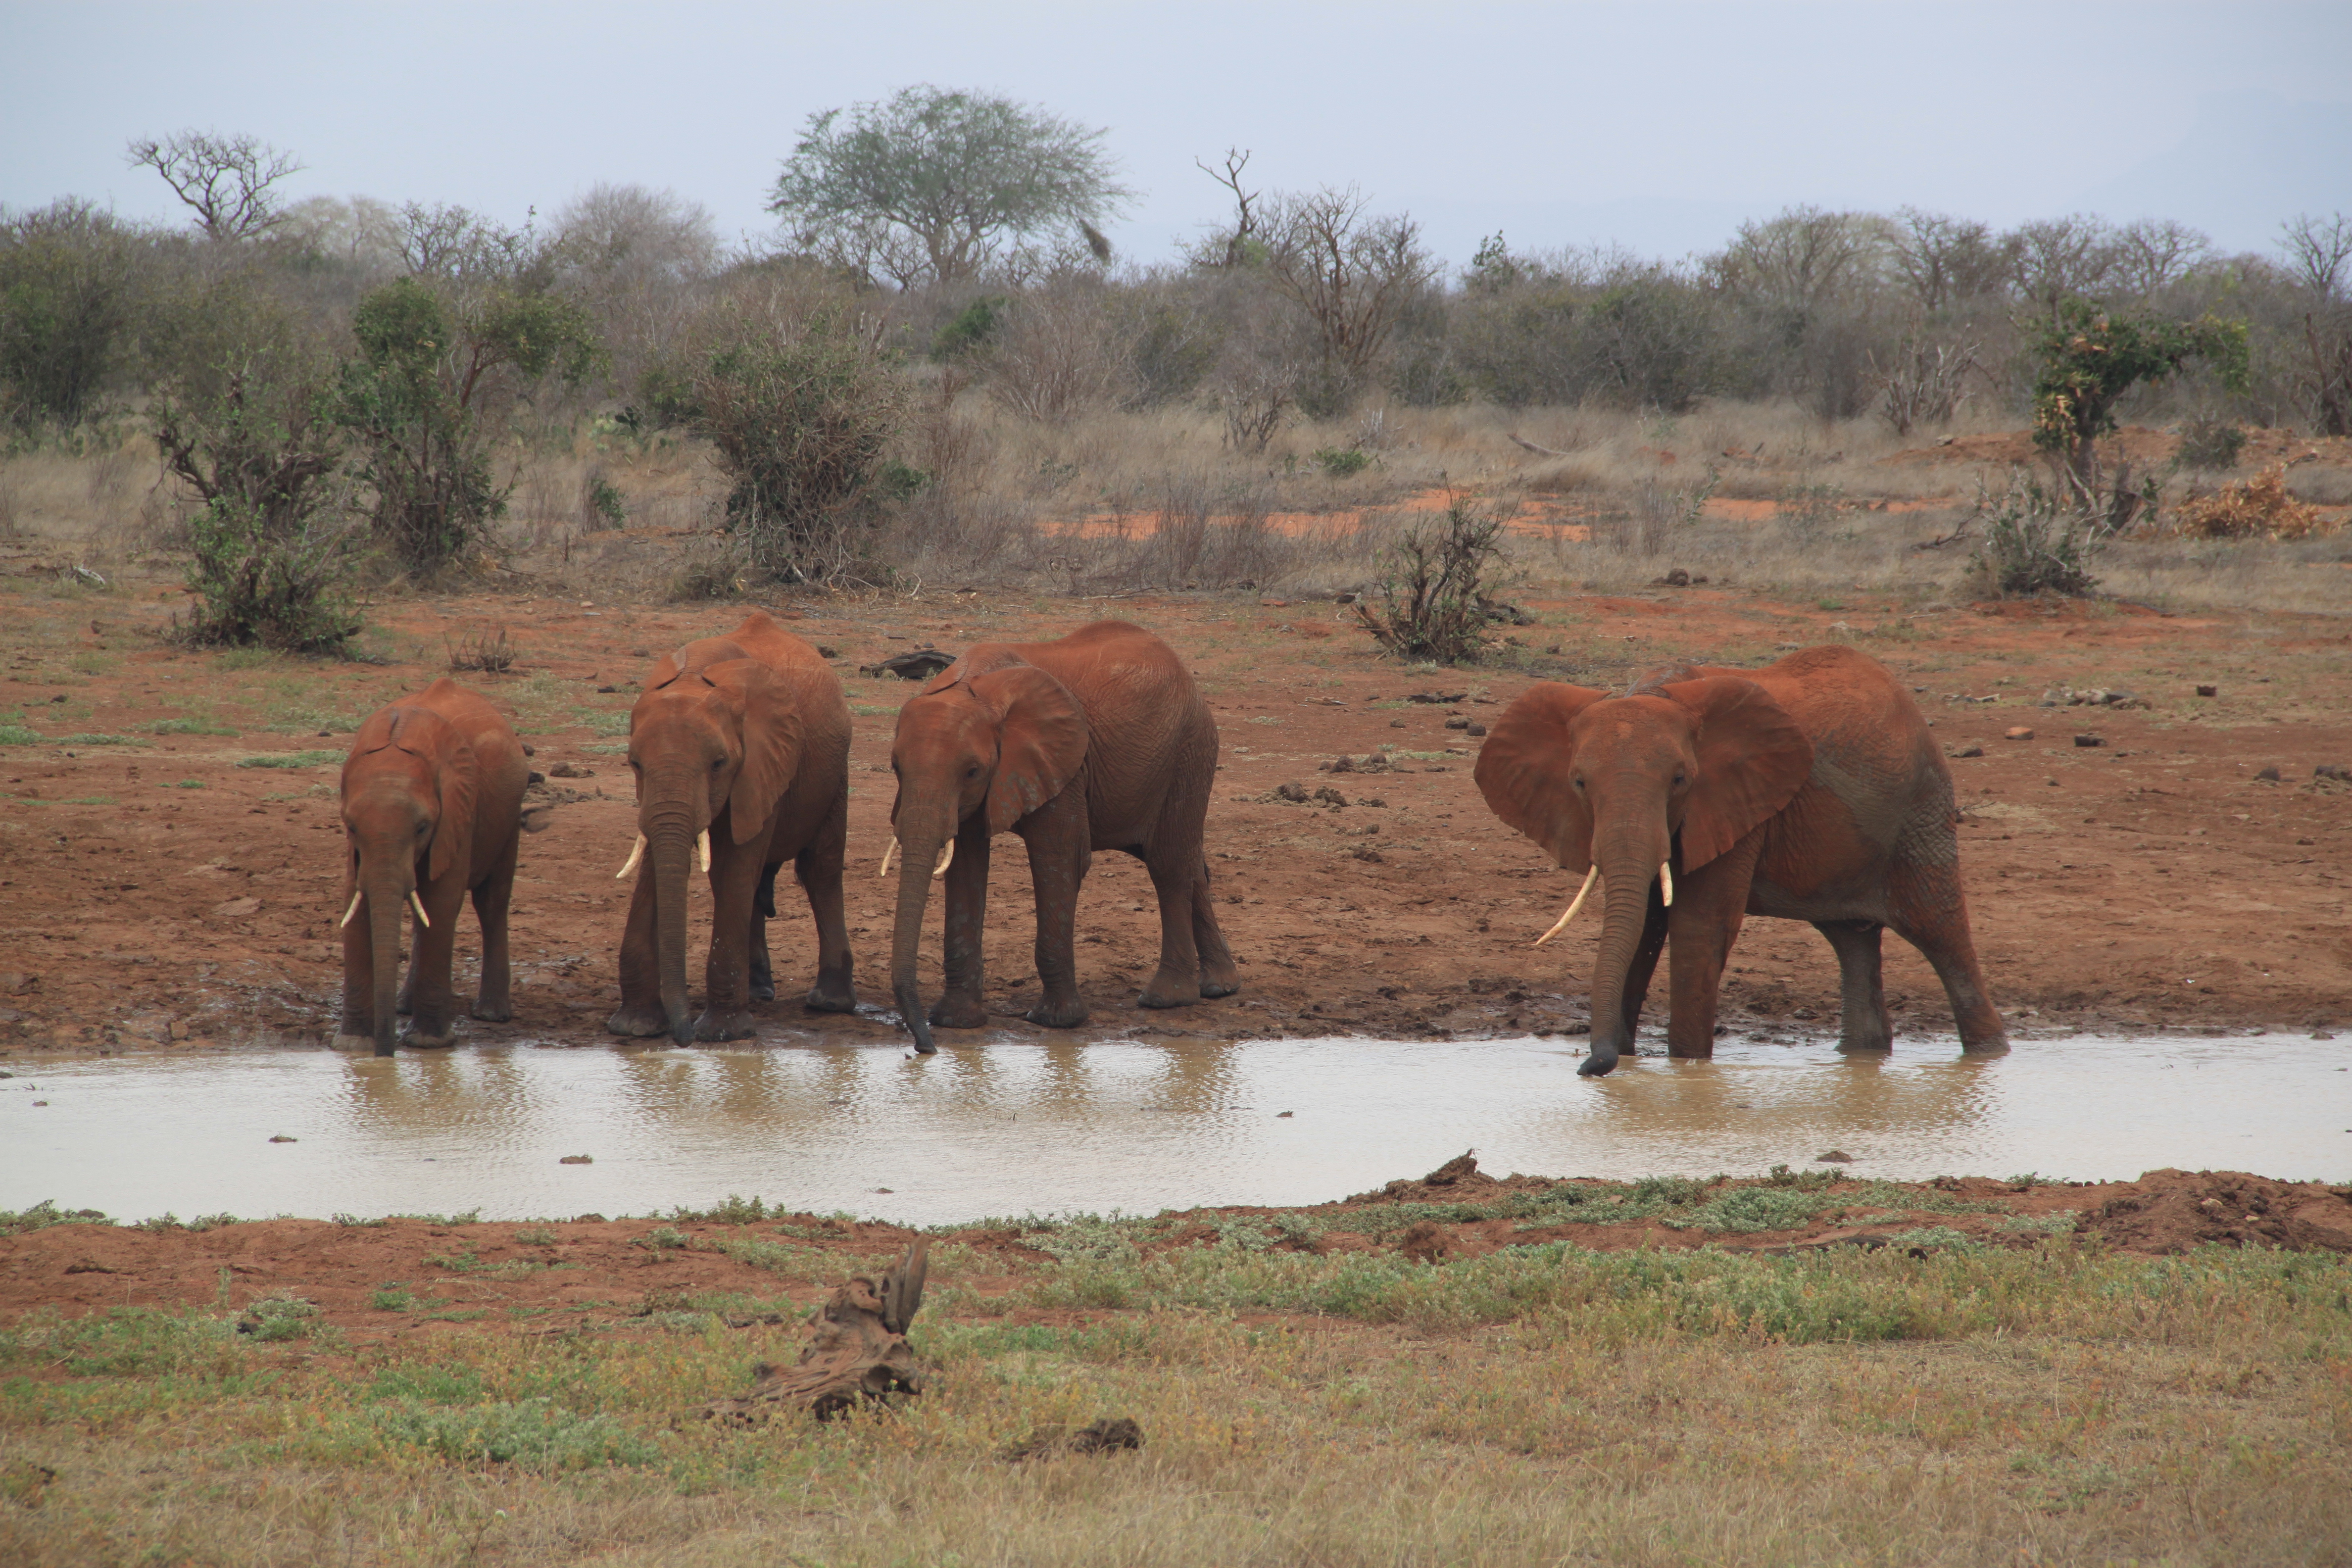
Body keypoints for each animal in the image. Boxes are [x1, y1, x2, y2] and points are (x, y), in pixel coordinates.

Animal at [336, 682, 534, 1062]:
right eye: (351, 826)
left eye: (422, 828)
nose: (386, 1057)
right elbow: (356, 901)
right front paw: (354, 1047)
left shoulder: (459, 809)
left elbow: (443, 902)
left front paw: (428, 1044)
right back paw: (403, 1007)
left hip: (508, 816)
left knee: (492, 902)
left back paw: (491, 1014)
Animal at [611, 611, 861, 1043]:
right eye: (634, 764)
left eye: (719, 764)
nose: (682, 1039)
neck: (693, 678)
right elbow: (658, 864)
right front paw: (636, 1028)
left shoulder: (765, 762)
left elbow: (740, 863)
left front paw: (722, 1034)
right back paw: (759, 991)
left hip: (834, 773)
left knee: (820, 869)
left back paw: (830, 1003)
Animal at [884, 616, 1242, 1053]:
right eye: (895, 767)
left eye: (971, 771)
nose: (925, 1048)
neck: (978, 689)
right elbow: (966, 866)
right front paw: (957, 1022)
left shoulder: (1064, 764)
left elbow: (1059, 859)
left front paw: (1056, 1022)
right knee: (1191, 864)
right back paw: (1220, 988)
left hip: (1190, 749)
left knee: (1169, 864)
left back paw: (1167, 998)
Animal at [1468, 639, 2004, 1081]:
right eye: (1579, 783)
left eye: (1680, 780)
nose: (1588, 1066)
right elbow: (1645, 924)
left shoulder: (1735, 806)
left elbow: (1698, 926)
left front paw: (1687, 1071)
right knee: (1853, 939)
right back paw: (1863, 1056)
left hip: (1921, 813)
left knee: (1940, 932)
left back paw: (1989, 1054)